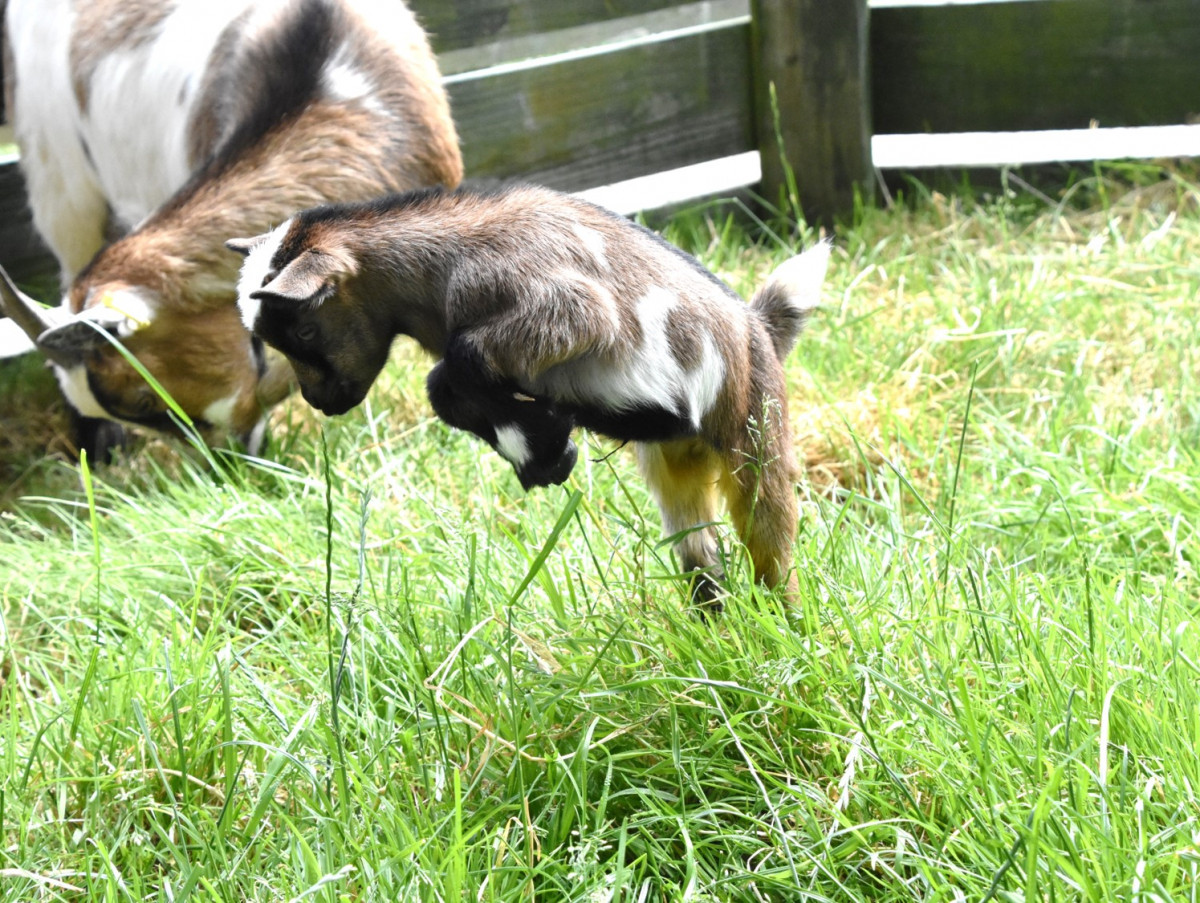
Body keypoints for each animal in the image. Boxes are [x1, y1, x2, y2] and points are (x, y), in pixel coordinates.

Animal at [231, 183, 835, 602]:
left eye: (304, 332)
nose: (318, 401)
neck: (440, 268)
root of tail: (759, 330)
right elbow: (447, 388)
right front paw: (542, 451)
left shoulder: (568, 306)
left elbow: (456, 365)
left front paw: (545, 444)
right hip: (675, 463)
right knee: (701, 554)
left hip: (756, 439)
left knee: (771, 546)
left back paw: (784, 627)